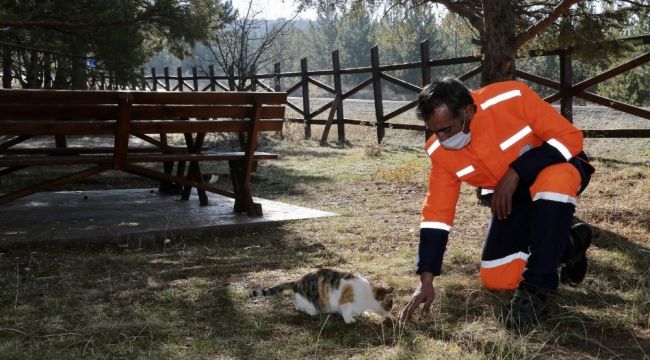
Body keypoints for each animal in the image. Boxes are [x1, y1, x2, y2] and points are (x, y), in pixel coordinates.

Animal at [249, 268, 392, 324]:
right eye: (390, 304)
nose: (389, 314)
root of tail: (297, 282)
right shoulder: (345, 301)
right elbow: (346, 312)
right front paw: (350, 320)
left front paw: (364, 314)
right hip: (310, 301)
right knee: (302, 306)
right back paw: (312, 312)